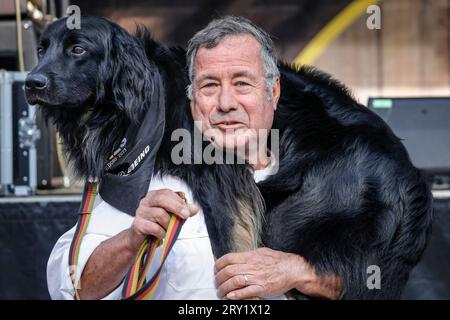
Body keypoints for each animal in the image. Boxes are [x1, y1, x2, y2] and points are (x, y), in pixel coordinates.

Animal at [25, 16, 432, 298]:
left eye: (78, 50)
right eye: (41, 49)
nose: (32, 82)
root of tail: (412, 179)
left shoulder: (221, 180)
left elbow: (229, 248)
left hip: (295, 219)